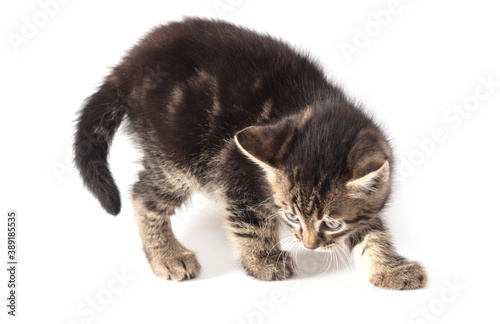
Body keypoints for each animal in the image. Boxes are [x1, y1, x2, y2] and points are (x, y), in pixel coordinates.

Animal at [74, 17, 426, 288]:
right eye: (292, 217)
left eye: (332, 223)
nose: (309, 246)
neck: (311, 105)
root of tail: (130, 64)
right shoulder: (235, 170)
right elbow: (248, 221)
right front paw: (263, 262)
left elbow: (371, 231)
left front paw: (391, 269)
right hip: (178, 156)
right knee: (143, 195)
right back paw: (167, 255)